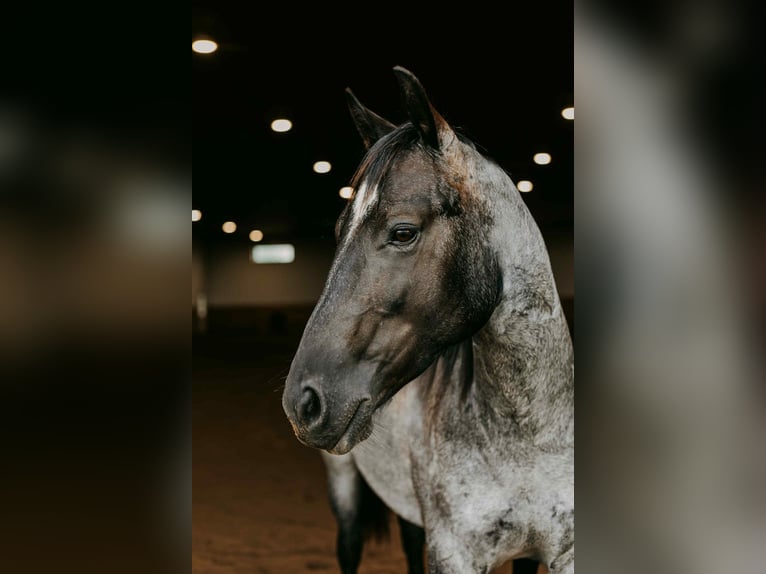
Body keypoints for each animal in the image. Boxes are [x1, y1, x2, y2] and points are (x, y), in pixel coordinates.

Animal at [282, 66, 574, 574]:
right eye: (338, 232)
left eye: (403, 232)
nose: (303, 402)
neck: (529, 432)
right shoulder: (454, 553)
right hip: (345, 488)